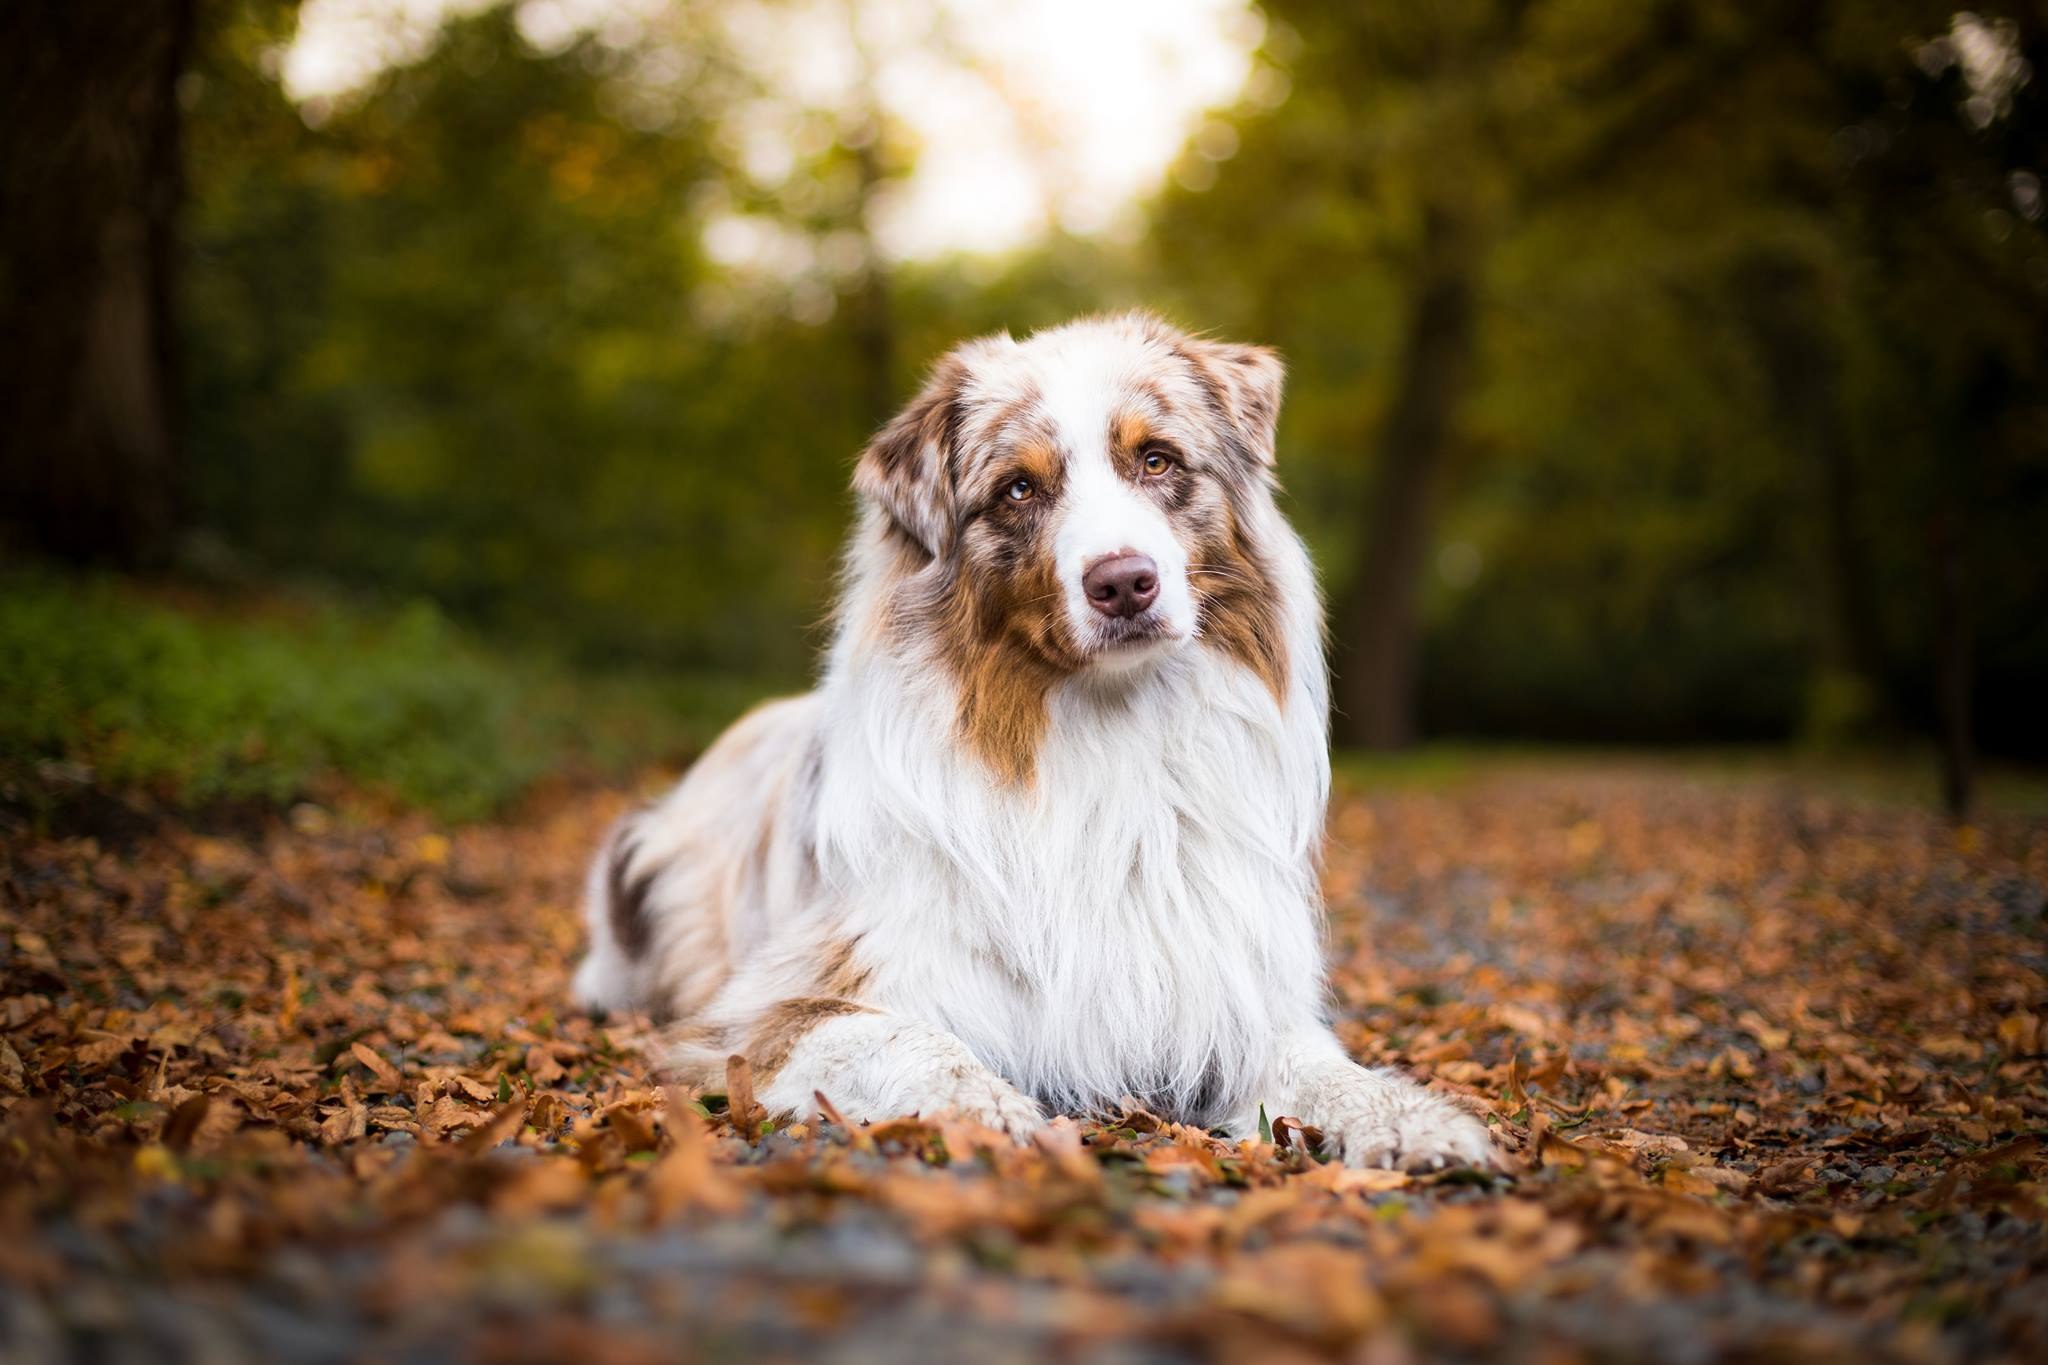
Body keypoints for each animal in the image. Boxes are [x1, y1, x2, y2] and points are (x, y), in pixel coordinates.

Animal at [569, 315, 1499, 1170]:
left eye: (1156, 460)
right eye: (1018, 489)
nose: (1123, 582)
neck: (1109, 735)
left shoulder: (1233, 998)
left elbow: (1327, 1068)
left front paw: (1414, 1118)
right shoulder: (776, 1005)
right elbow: (919, 1042)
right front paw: (990, 1112)